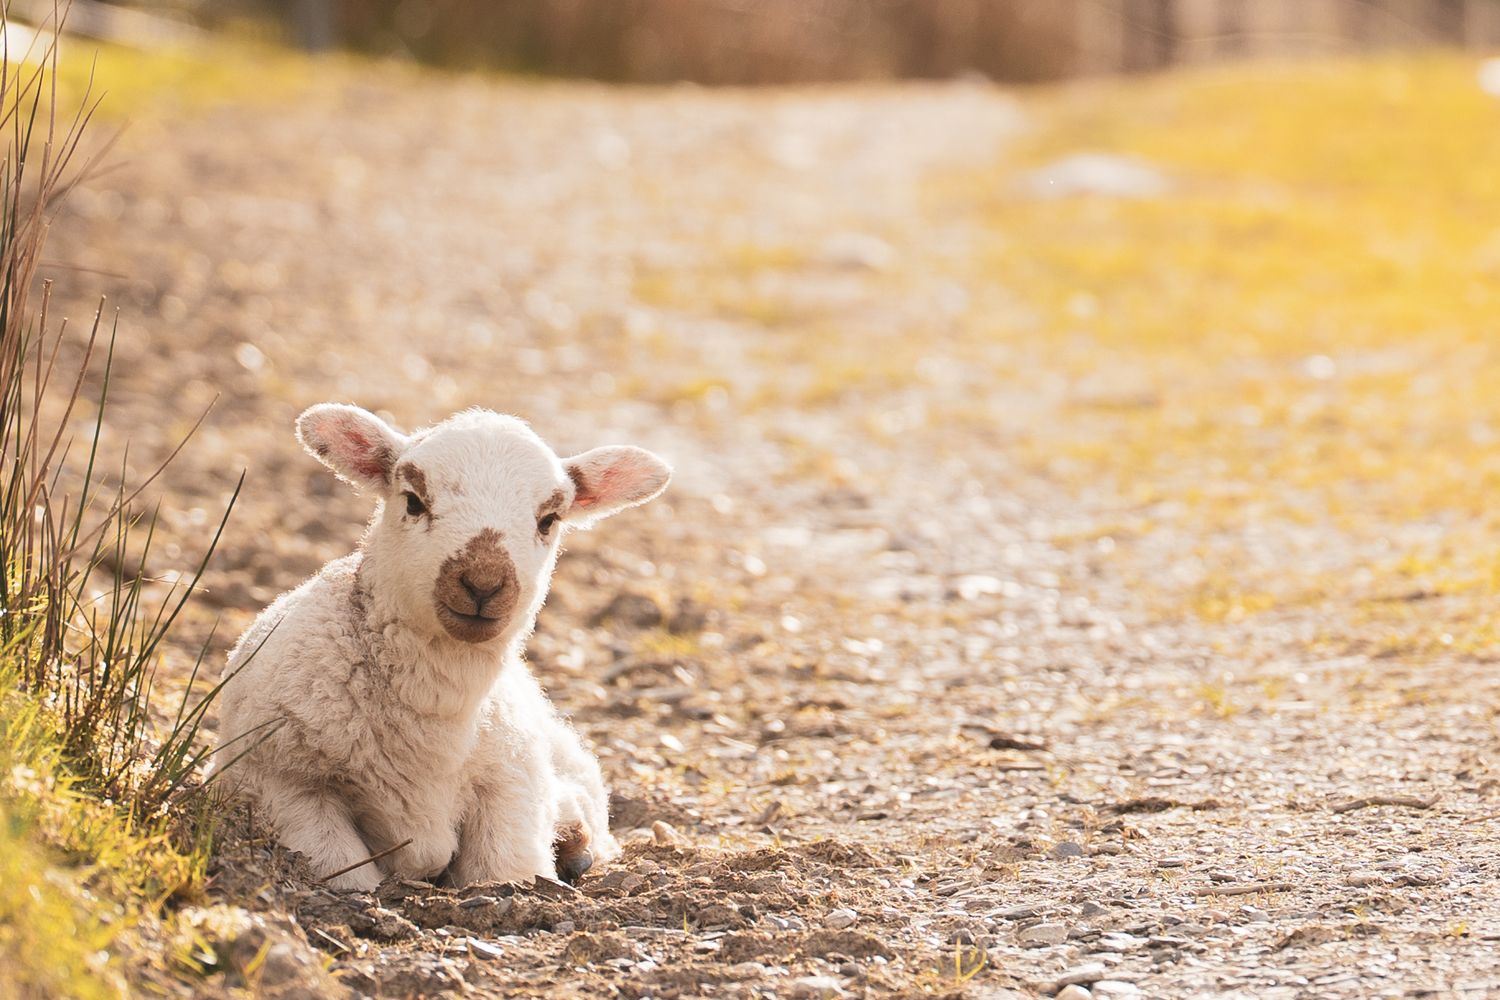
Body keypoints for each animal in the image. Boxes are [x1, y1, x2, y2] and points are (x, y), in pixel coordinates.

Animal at [212, 404, 671, 891]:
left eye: (549, 519)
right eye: (414, 500)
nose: (483, 583)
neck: (435, 711)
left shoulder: (511, 794)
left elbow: (505, 870)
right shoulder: (287, 789)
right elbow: (342, 869)